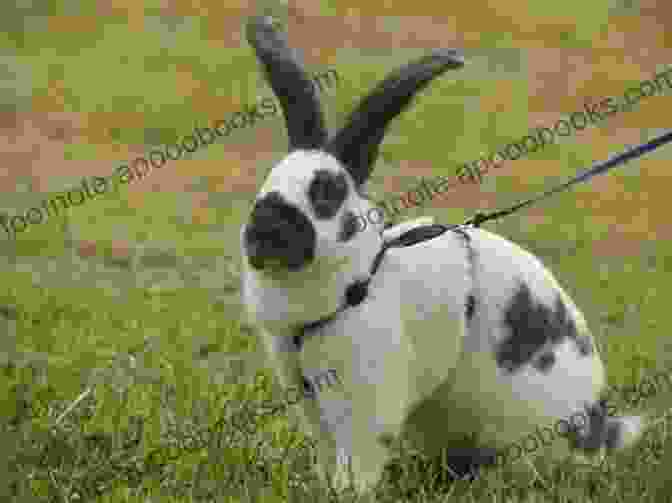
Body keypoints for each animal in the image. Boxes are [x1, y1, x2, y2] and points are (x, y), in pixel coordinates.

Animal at [240, 14, 644, 492]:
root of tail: (600, 434)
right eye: (268, 182)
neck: (357, 284)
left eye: (327, 194)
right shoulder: (310, 402)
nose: (263, 232)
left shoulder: (364, 404)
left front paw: (346, 492)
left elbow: (358, 461)